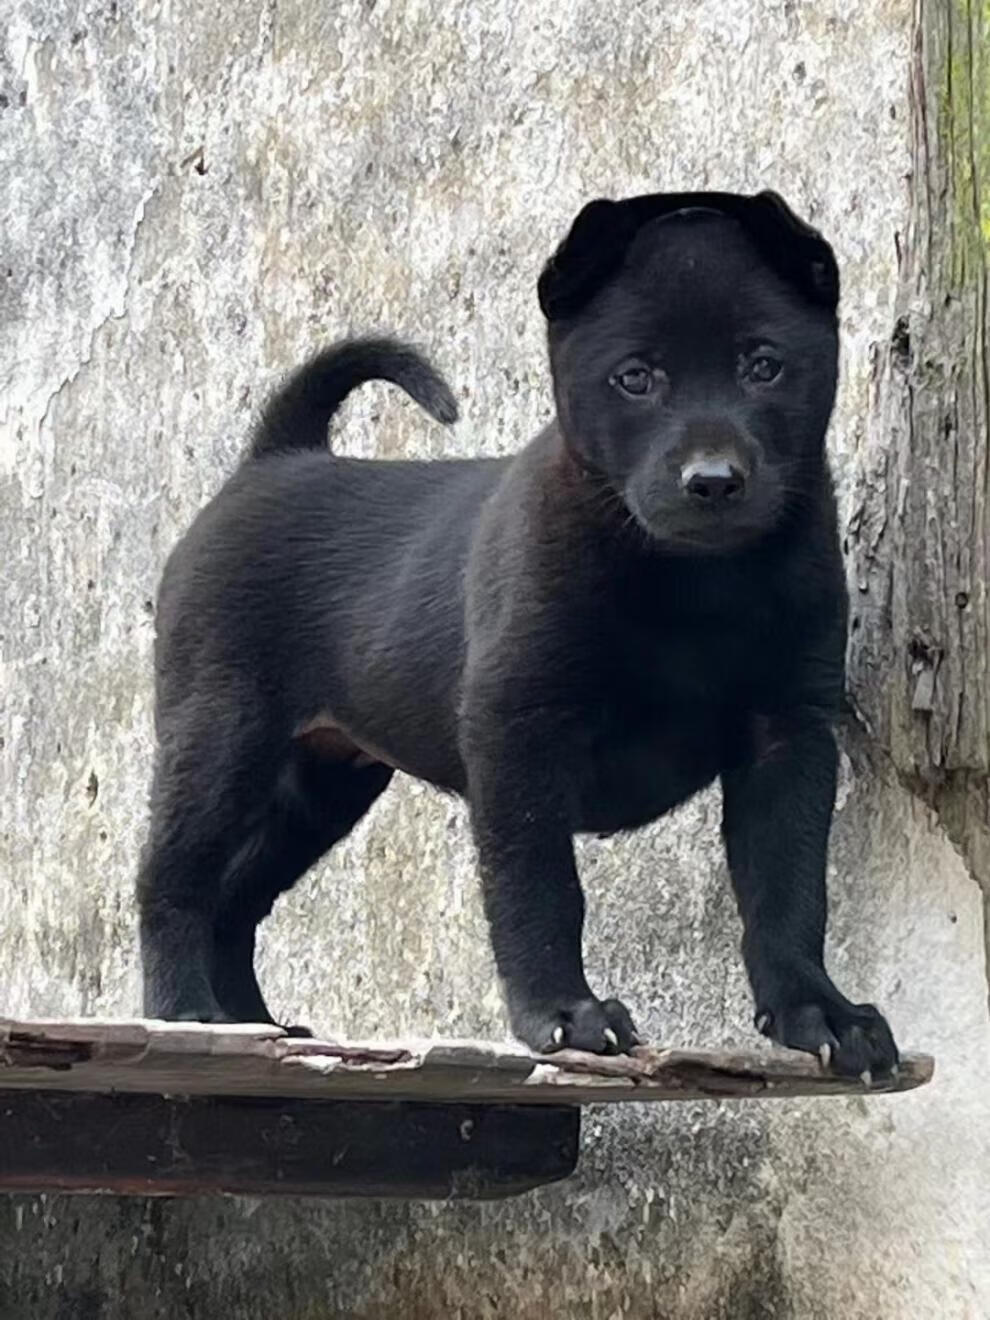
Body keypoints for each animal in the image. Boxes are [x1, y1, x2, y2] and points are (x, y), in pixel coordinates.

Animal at [135, 186, 902, 1077]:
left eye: (764, 365)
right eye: (635, 378)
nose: (711, 481)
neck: (692, 578)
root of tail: (274, 457)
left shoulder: (788, 734)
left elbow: (790, 889)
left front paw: (820, 1012)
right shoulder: (520, 733)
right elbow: (539, 887)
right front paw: (563, 1013)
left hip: (319, 783)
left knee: (236, 902)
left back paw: (256, 1029)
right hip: (221, 735)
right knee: (172, 879)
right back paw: (185, 1015)